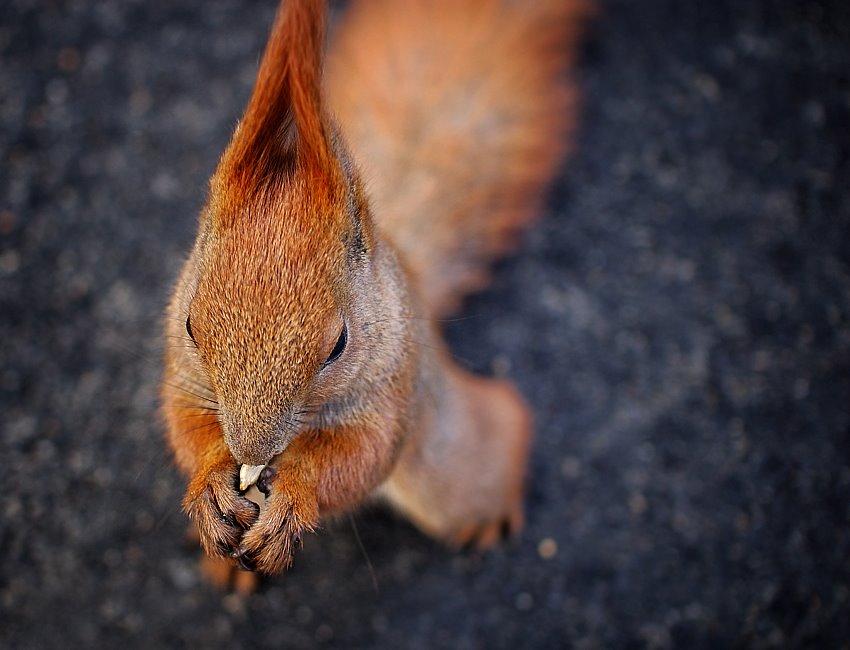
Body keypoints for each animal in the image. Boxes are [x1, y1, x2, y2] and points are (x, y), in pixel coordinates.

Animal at [161, 0, 584, 576]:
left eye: (339, 345)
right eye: (190, 326)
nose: (251, 452)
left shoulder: (393, 386)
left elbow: (363, 455)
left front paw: (295, 497)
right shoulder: (183, 377)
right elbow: (184, 425)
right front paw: (209, 486)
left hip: (443, 452)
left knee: (495, 435)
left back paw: (488, 507)